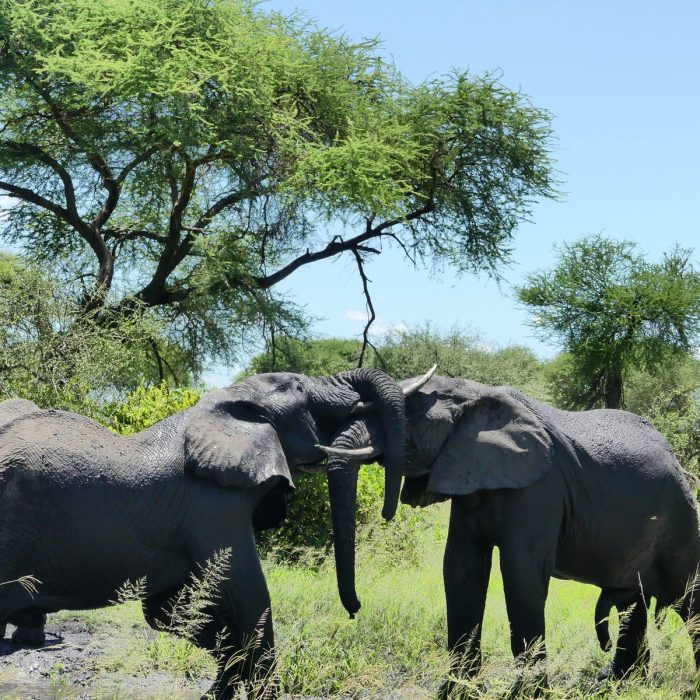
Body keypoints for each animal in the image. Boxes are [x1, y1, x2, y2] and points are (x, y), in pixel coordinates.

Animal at [0, 368, 408, 699]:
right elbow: (251, 599)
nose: (354, 610)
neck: (225, 403)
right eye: (299, 387)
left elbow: (170, 612)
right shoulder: (212, 507)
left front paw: (215, 692)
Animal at [318, 374, 700, 695]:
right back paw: (618, 683)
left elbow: (521, 573)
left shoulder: (539, 488)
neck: (475, 395)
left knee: (687, 598)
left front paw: (529, 694)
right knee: (632, 601)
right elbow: (460, 568)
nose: (354, 610)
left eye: (409, 414)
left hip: (679, 519)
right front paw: (456, 691)